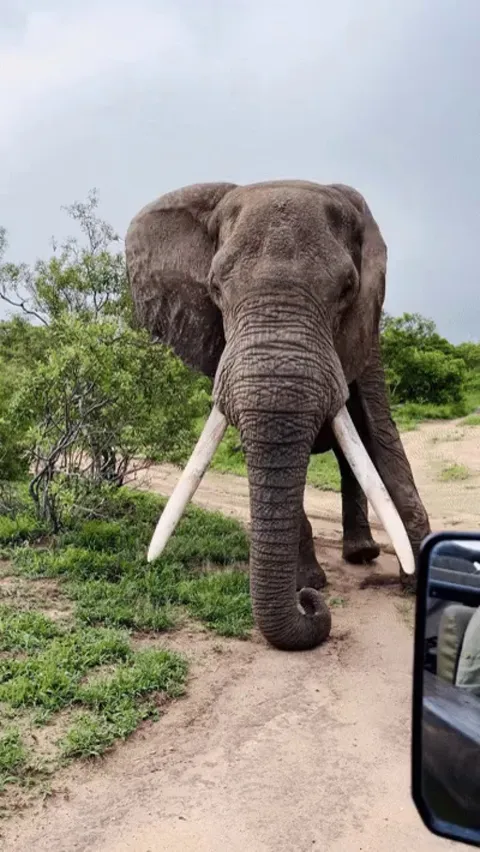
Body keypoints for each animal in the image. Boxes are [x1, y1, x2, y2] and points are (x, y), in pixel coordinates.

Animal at [125, 179, 431, 652]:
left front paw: (418, 578)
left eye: (348, 289)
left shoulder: (367, 330)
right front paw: (312, 584)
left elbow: (377, 432)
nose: (309, 606)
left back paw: (361, 555)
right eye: (214, 289)